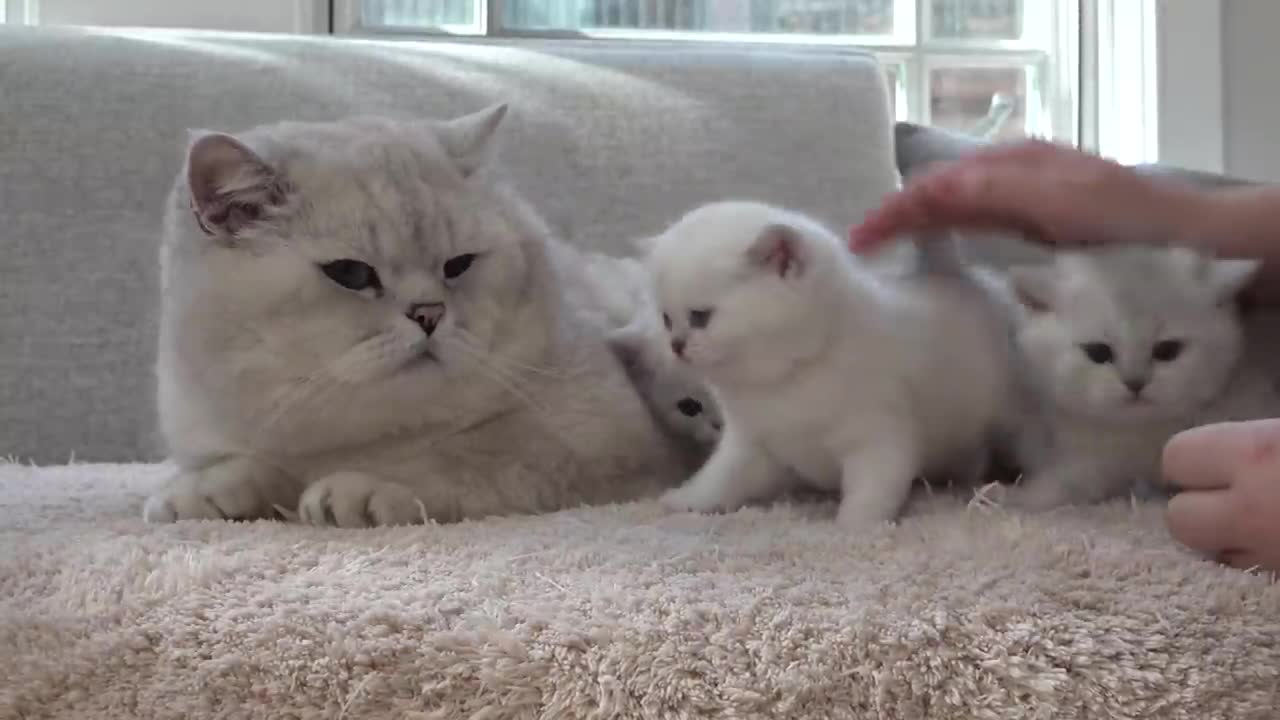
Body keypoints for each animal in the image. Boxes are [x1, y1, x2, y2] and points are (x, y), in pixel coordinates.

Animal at [144, 103, 686, 525]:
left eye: (458, 265)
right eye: (351, 274)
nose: (429, 313)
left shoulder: (599, 444)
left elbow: (460, 460)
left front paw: (363, 488)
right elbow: (247, 462)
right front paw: (200, 493)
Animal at [645, 198, 1024, 530]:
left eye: (700, 317)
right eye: (666, 319)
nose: (676, 345)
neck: (788, 379)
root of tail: (957, 275)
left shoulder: (876, 440)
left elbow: (870, 491)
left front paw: (854, 527)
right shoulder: (751, 445)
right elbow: (718, 480)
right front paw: (686, 501)